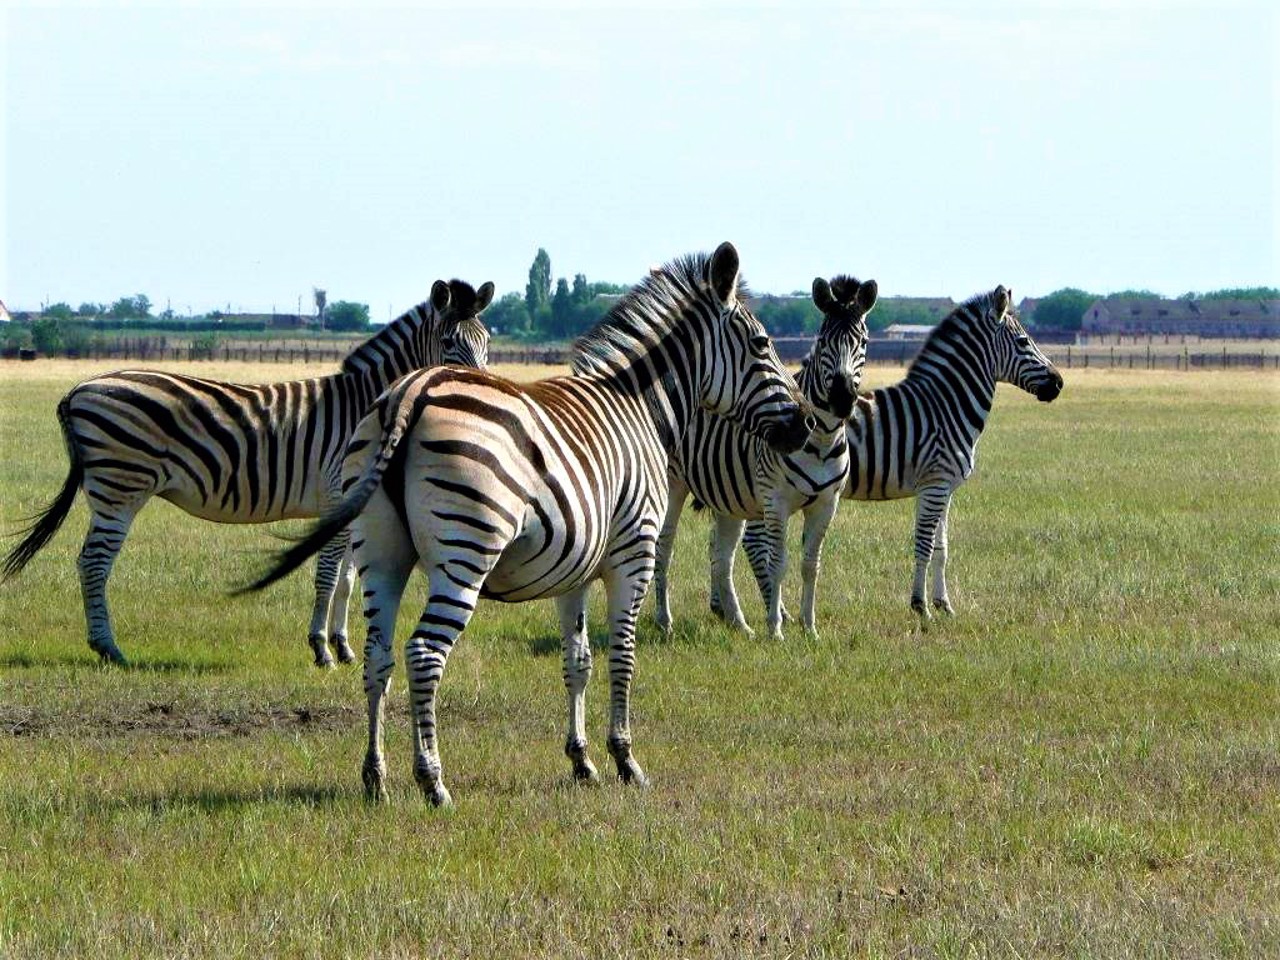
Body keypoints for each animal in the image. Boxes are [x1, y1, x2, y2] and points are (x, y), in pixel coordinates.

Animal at [1, 277, 494, 670]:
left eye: (486, 341)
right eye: (449, 341)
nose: (480, 390)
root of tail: (78, 389)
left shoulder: (360, 505)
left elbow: (349, 579)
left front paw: (344, 646)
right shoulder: (337, 496)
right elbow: (329, 574)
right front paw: (322, 649)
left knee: (91, 561)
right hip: (120, 487)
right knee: (94, 561)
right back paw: (109, 648)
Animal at [244, 244, 814, 808]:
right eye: (763, 344)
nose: (808, 425)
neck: (642, 408)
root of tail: (412, 393)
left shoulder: (575, 568)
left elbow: (578, 660)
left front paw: (582, 761)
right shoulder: (634, 553)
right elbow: (622, 656)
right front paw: (626, 760)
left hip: (381, 554)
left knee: (377, 658)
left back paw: (375, 778)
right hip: (466, 551)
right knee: (423, 654)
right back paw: (433, 782)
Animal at [655, 273, 875, 642]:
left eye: (863, 341)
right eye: (823, 340)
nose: (842, 398)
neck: (822, 438)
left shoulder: (826, 504)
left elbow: (810, 565)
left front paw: (809, 627)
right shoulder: (776, 501)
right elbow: (778, 563)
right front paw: (775, 629)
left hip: (727, 495)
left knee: (721, 556)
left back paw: (738, 622)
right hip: (674, 483)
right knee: (664, 546)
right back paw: (665, 620)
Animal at [732, 280, 1070, 624]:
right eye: (1024, 341)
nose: (1058, 383)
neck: (945, 405)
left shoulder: (944, 488)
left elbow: (942, 547)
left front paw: (944, 604)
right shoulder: (935, 484)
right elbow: (924, 544)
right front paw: (921, 607)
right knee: (756, 543)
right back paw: (778, 611)